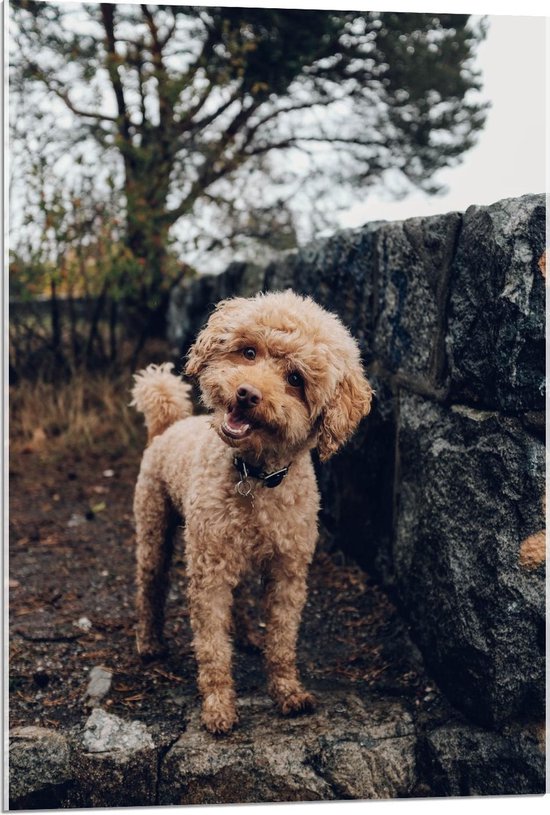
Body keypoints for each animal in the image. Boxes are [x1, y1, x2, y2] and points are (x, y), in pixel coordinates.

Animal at [132, 290, 374, 736]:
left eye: (296, 379)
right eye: (248, 352)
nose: (246, 393)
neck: (256, 476)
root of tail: (167, 426)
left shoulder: (288, 571)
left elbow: (282, 641)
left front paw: (289, 693)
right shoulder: (208, 572)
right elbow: (211, 646)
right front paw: (218, 708)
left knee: (239, 595)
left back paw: (245, 634)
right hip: (154, 526)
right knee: (150, 586)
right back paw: (150, 642)